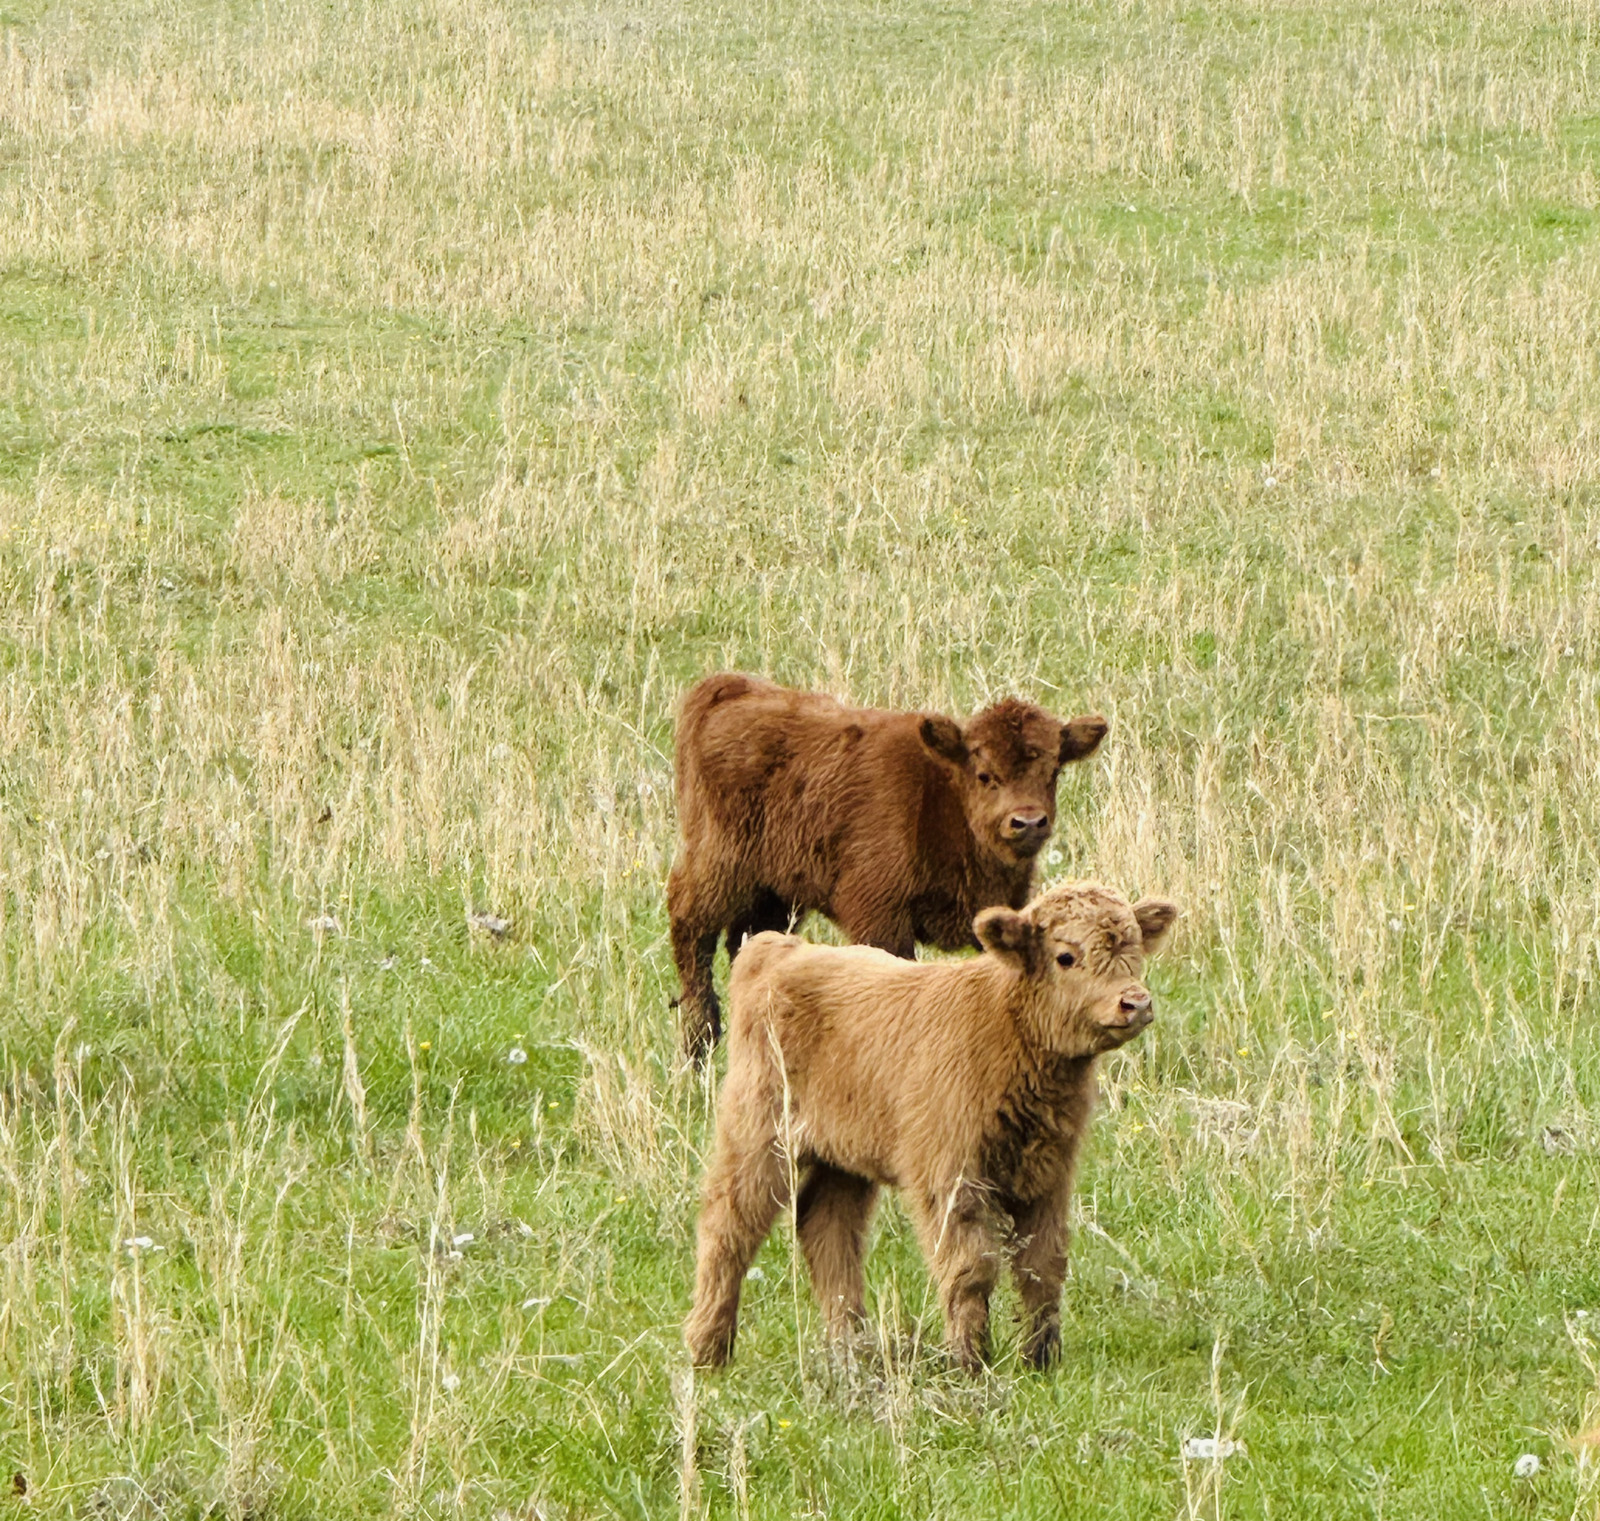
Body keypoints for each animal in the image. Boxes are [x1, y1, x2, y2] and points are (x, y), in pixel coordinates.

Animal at [667, 673, 1108, 1061]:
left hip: (776, 894)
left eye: (1054, 772)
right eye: (985, 775)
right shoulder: (879, 917)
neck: (944, 794)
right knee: (691, 929)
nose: (1028, 822)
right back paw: (698, 1045)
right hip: (719, 868)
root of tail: (731, 688)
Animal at [683, 881, 1178, 1373]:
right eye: (1066, 956)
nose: (1135, 1003)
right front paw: (970, 1361)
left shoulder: (1048, 1176)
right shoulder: (952, 1178)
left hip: (843, 1155)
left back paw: (852, 1347)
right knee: (728, 1226)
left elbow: (1043, 1265)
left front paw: (1041, 1360)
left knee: (827, 1228)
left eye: (1134, 948)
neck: (1005, 1026)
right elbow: (971, 1268)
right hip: (759, 1133)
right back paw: (709, 1350)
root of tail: (778, 950)